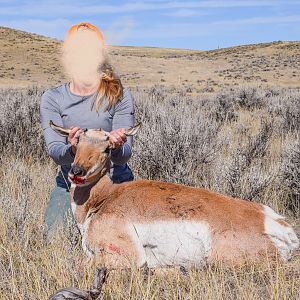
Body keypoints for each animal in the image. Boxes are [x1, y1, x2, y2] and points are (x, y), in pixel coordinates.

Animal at [49, 120, 298, 268]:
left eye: (108, 148)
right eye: (77, 142)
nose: (76, 172)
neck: (105, 198)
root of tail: (275, 224)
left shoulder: (125, 256)